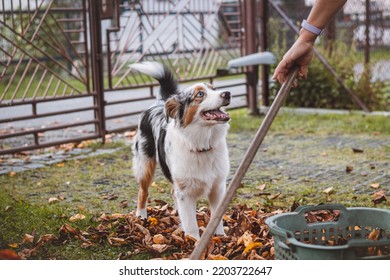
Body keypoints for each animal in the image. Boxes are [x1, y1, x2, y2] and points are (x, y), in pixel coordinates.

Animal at [130, 61, 232, 238]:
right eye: (200, 94)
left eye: (214, 88)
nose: (227, 94)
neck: (202, 145)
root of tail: (159, 103)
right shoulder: (185, 193)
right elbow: (191, 225)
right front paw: (194, 241)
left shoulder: (217, 187)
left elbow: (216, 217)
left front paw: (220, 237)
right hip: (145, 166)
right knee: (143, 192)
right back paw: (141, 216)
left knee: (172, 192)